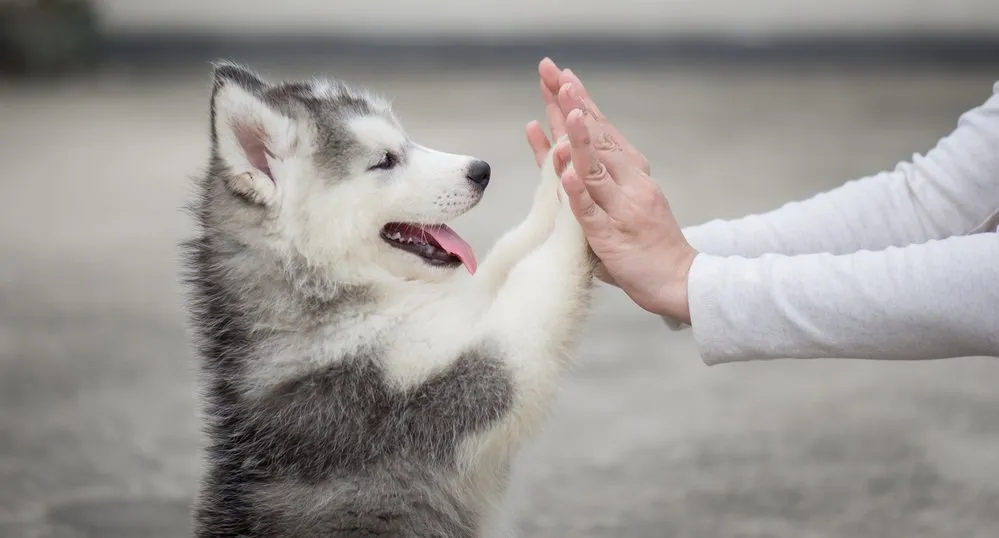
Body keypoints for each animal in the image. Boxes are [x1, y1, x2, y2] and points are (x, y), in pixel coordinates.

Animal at [182, 60, 592, 532]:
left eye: (405, 141)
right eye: (385, 161)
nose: (481, 170)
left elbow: (506, 254)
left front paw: (559, 169)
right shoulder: (446, 388)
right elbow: (536, 280)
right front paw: (581, 199)